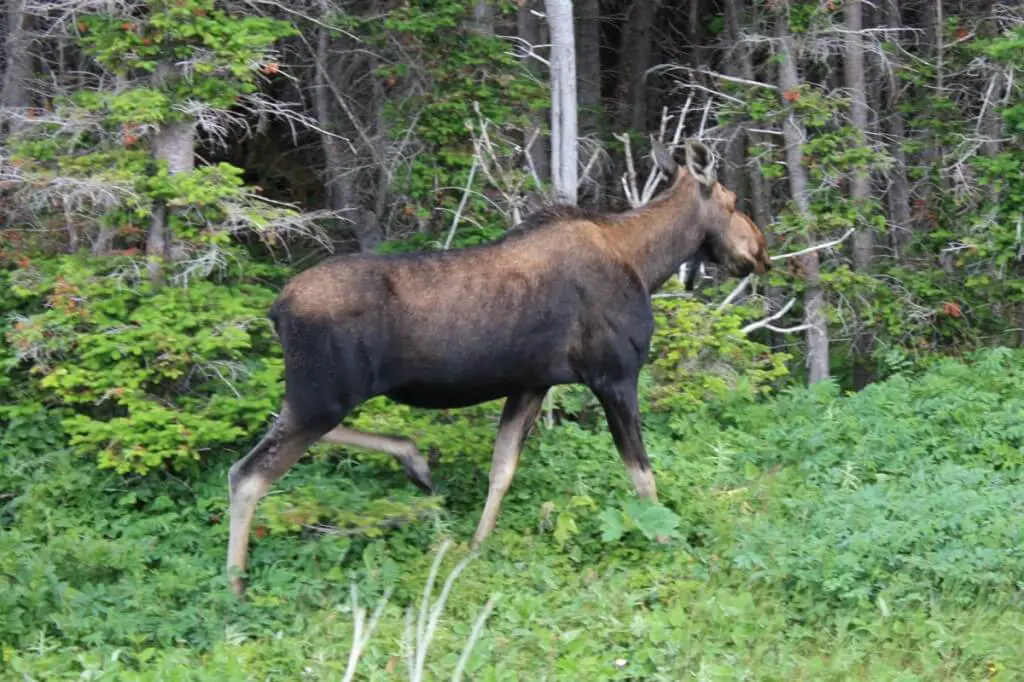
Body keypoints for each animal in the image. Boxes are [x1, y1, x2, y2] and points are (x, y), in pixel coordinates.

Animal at [224, 139, 770, 593]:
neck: (646, 264)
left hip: (319, 394)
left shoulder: (531, 384)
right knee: (246, 474)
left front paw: (476, 547)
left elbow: (502, 469)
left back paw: (414, 460)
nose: (760, 252)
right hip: (323, 395)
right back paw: (235, 585)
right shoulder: (613, 376)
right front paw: (667, 545)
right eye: (733, 201)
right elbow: (642, 474)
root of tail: (276, 310)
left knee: (274, 434)